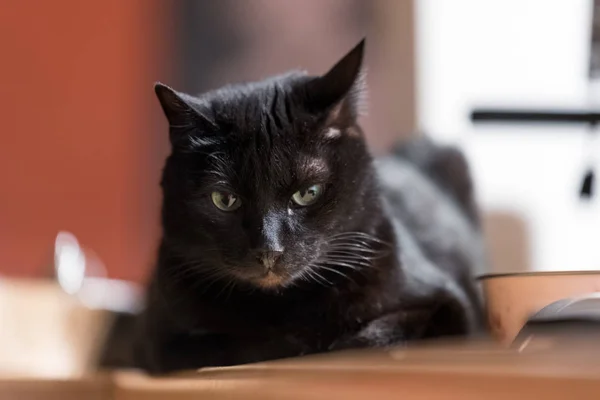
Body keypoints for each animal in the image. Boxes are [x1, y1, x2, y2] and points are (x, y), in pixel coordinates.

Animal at [134, 39, 486, 374]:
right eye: (224, 199)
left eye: (308, 193)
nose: (268, 250)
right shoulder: (164, 341)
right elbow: (244, 345)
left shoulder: (452, 305)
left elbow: (374, 336)